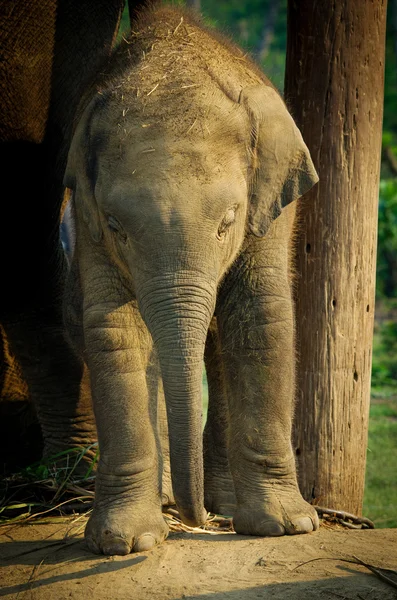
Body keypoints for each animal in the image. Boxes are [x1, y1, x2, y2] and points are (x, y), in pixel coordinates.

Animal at [64, 5, 318, 556]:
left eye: (228, 221)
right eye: (116, 226)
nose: (194, 519)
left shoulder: (270, 207)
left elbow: (261, 317)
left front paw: (288, 527)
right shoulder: (87, 220)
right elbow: (115, 331)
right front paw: (125, 542)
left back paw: (227, 502)